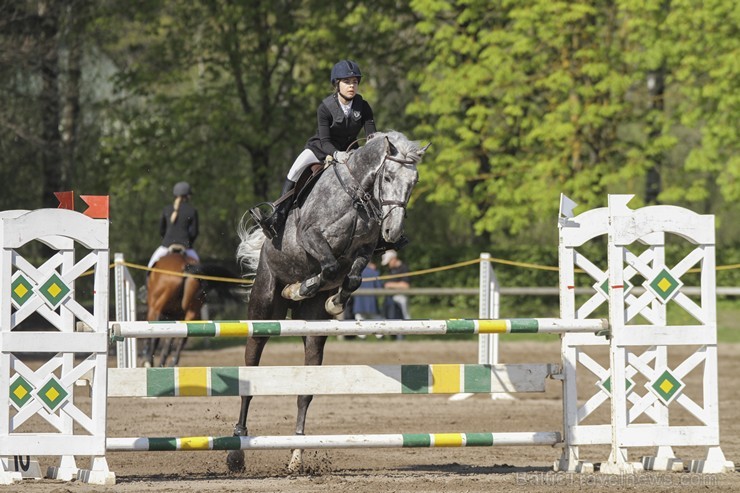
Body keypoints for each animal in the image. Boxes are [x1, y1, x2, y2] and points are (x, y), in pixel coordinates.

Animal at [231, 131, 428, 472]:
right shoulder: (312, 238)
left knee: (306, 391)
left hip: (313, 332)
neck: (357, 194)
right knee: (251, 371)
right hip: (263, 309)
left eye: (413, 182)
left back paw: (296, 454)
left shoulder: (364, 251)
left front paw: (332, 300)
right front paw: (299, 288)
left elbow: (351, 277)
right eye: (388, 177)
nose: (392, 231)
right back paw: (237, 450)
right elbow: (330, 266)